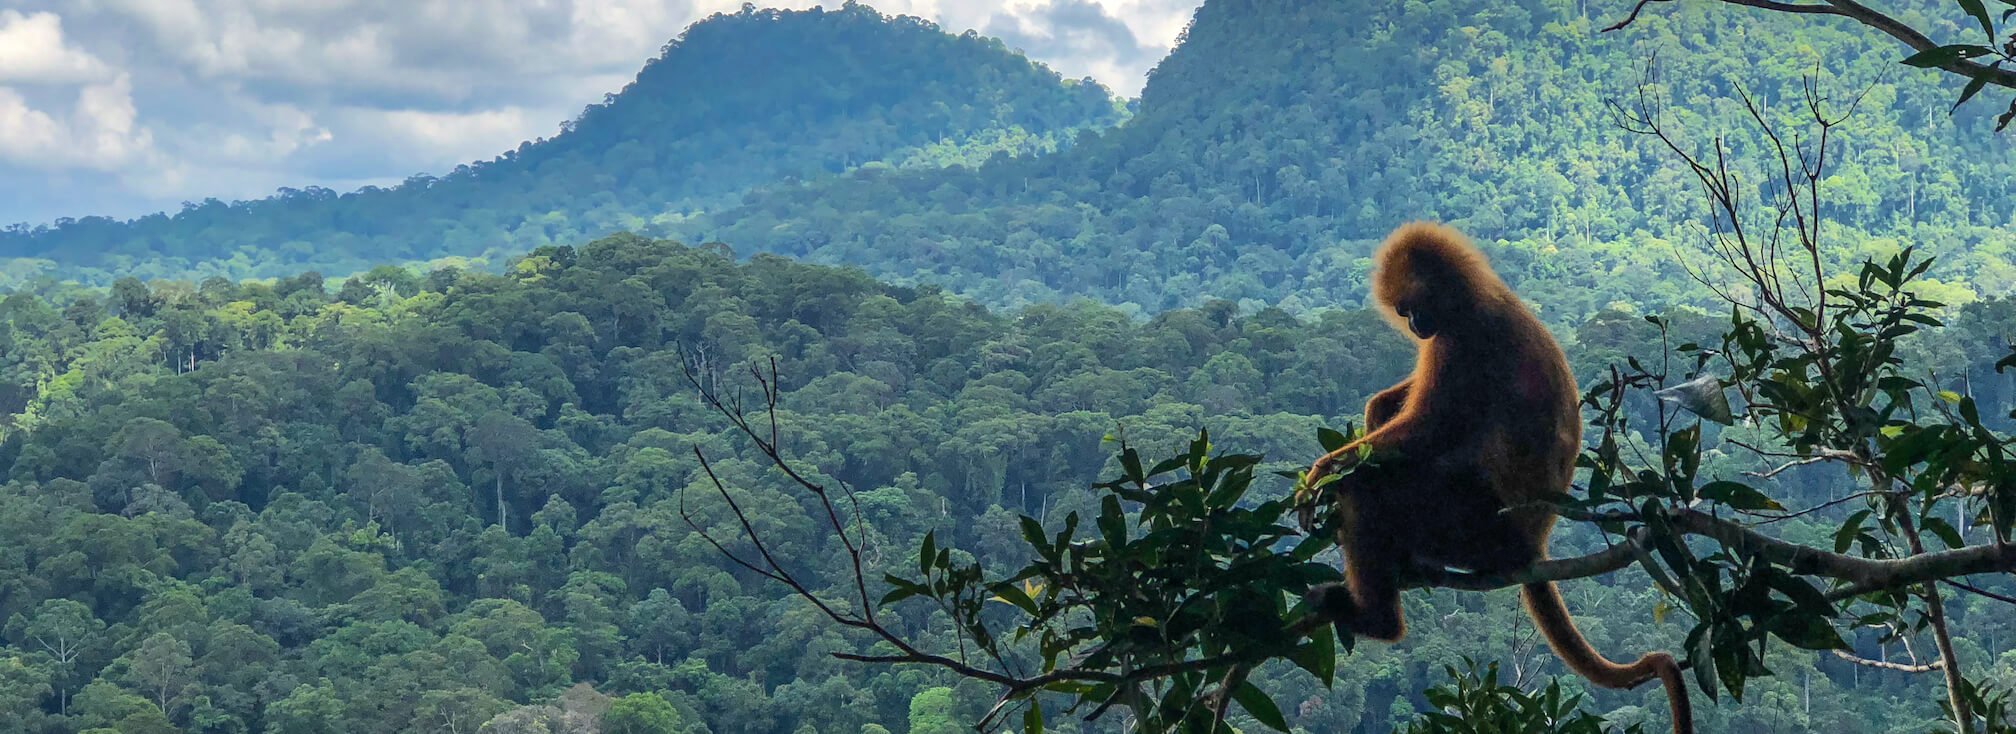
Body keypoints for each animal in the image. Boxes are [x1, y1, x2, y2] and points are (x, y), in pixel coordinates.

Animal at [1296, 222, 1693, 734]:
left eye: (1414, 307)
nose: (1416, 326)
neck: (1473, 297)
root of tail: (1532, 543)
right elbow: (1399, 412)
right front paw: (1374, 411)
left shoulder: (1465, 337)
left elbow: (1429, 430)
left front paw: (1321, 475)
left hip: (1476, 527)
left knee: (1370, 486)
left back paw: (1378, 619)